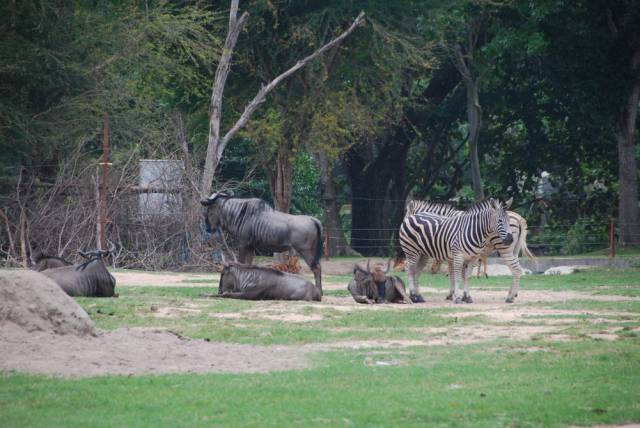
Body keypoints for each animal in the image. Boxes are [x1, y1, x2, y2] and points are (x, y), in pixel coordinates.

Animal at [404, 199, 536, 302]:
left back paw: (510, 297)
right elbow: (460, 274)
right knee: (516, 269)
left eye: (406, 214)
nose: (404, 223)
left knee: (516, 269)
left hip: (504, 249)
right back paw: (513, 293)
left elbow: (454, 274)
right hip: (514, 249)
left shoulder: (454, 255)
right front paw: (460, 295)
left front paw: (453, 295)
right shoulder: (456, 255)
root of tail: (519, 218)